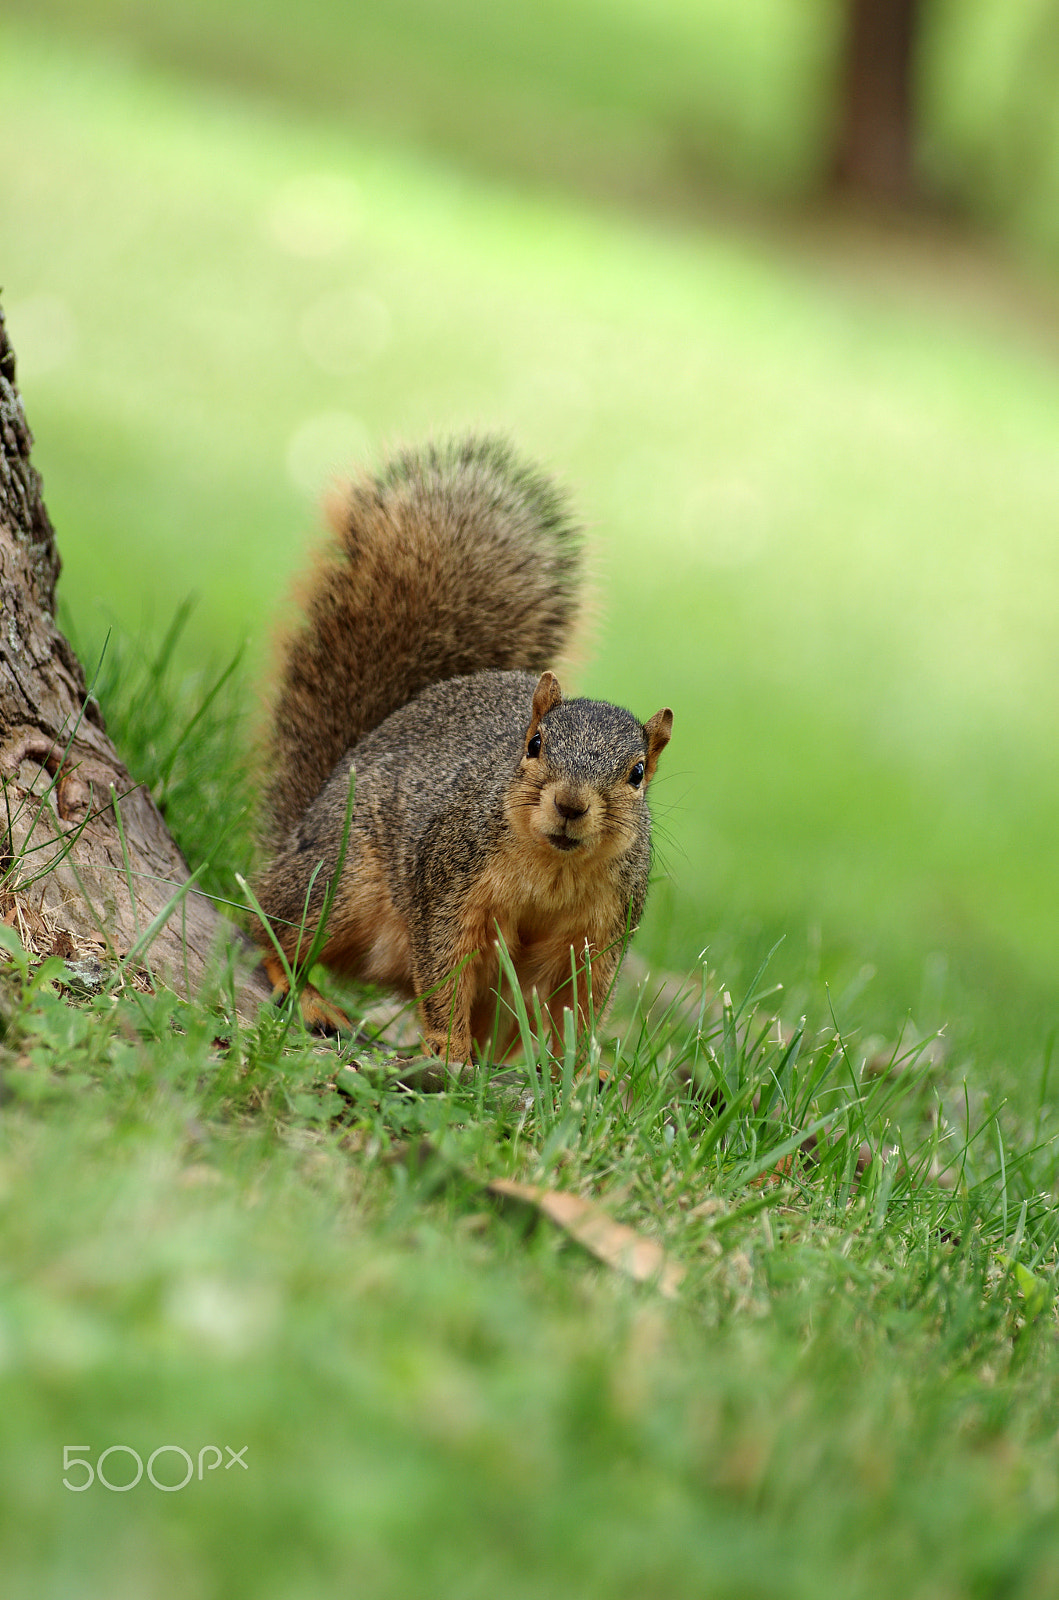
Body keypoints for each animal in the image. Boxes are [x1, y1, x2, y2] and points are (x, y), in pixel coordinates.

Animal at [251, 432, 671, 1068]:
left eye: (638, 773)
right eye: (534, 744)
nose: (571, 805)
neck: (555, 866)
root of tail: (305, 821)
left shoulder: (600, 929)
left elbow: (581, 1003)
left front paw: (577, 1069)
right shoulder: (451, 883)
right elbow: (445, 965)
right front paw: (447, 1048)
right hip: (342, 882)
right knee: (270, 925)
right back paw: (308, 997)